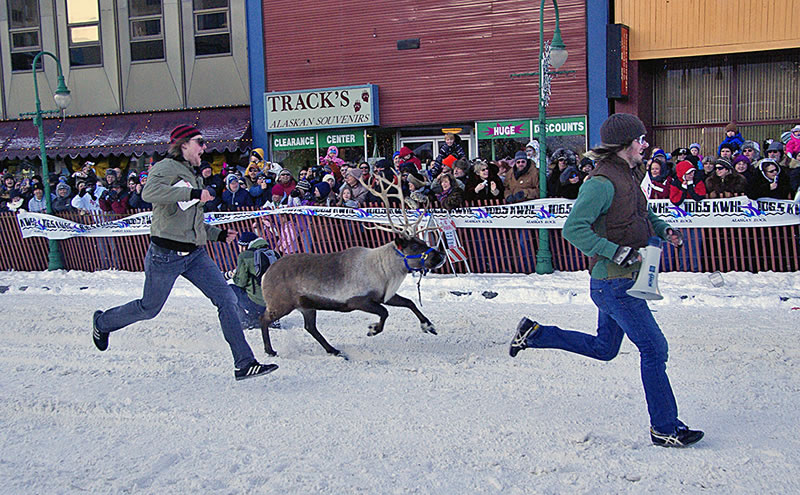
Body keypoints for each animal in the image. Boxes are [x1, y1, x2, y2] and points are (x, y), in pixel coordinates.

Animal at [258, 169, 447, 359]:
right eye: (415, 246)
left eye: (422, 242)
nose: (440, 256)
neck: (385, 270)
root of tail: (266, 273)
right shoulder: (358, 301)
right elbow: (385, 312)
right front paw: (373, 329)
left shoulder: (384, 296)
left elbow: (410, 302)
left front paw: (428, 326)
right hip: (281, 303)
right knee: (264, 319)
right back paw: (270, 350)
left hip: (306, 305)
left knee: (310, 327)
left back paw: (334, 351)